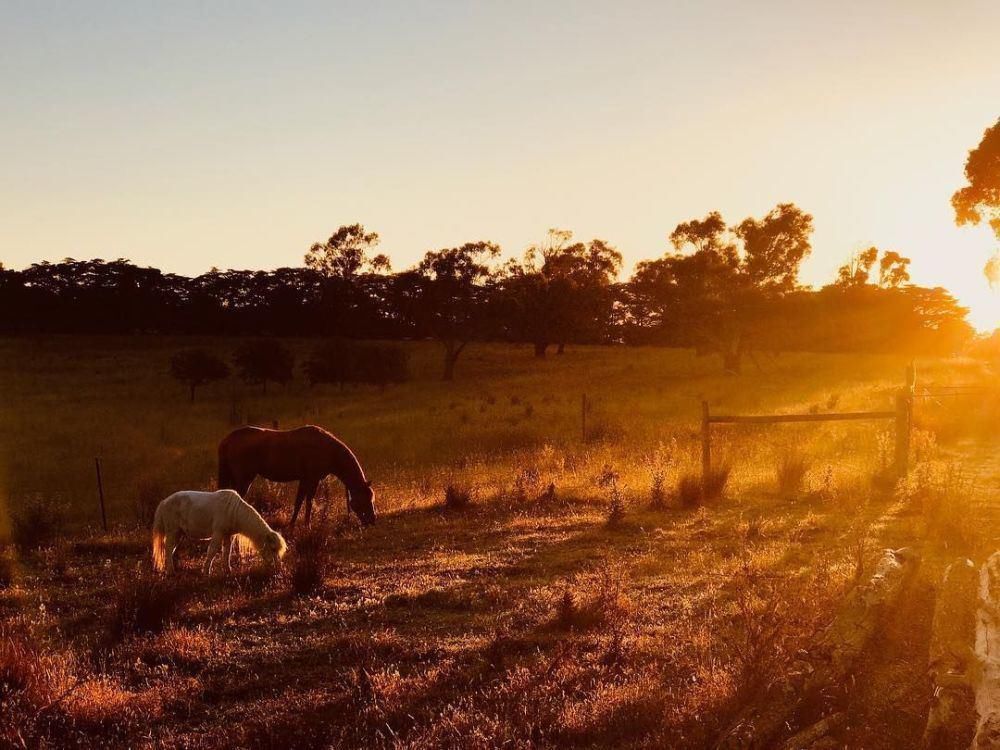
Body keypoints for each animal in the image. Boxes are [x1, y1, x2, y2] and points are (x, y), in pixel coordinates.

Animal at [151, 490, 286, 580]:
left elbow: (227, 552)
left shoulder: (227, 535)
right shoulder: (218, 533)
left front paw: (227, 570)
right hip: (172, 531)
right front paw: (206, 572)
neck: (234, 512)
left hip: (179, 533)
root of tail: (163, 502)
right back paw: (170, 572)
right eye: (272, 549)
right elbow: (212, 551)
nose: (278, 570)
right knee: (168, 549)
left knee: (170, 550)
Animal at [218, 426, 376, 524]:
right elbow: (309, 502)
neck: (328, 450)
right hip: (244, 480)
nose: (372, 520)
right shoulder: (313, 479)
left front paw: (292, 526)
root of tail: (228, 439)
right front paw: (307, 526)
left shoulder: (304, 480)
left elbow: (298, 502)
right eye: (365, 500)